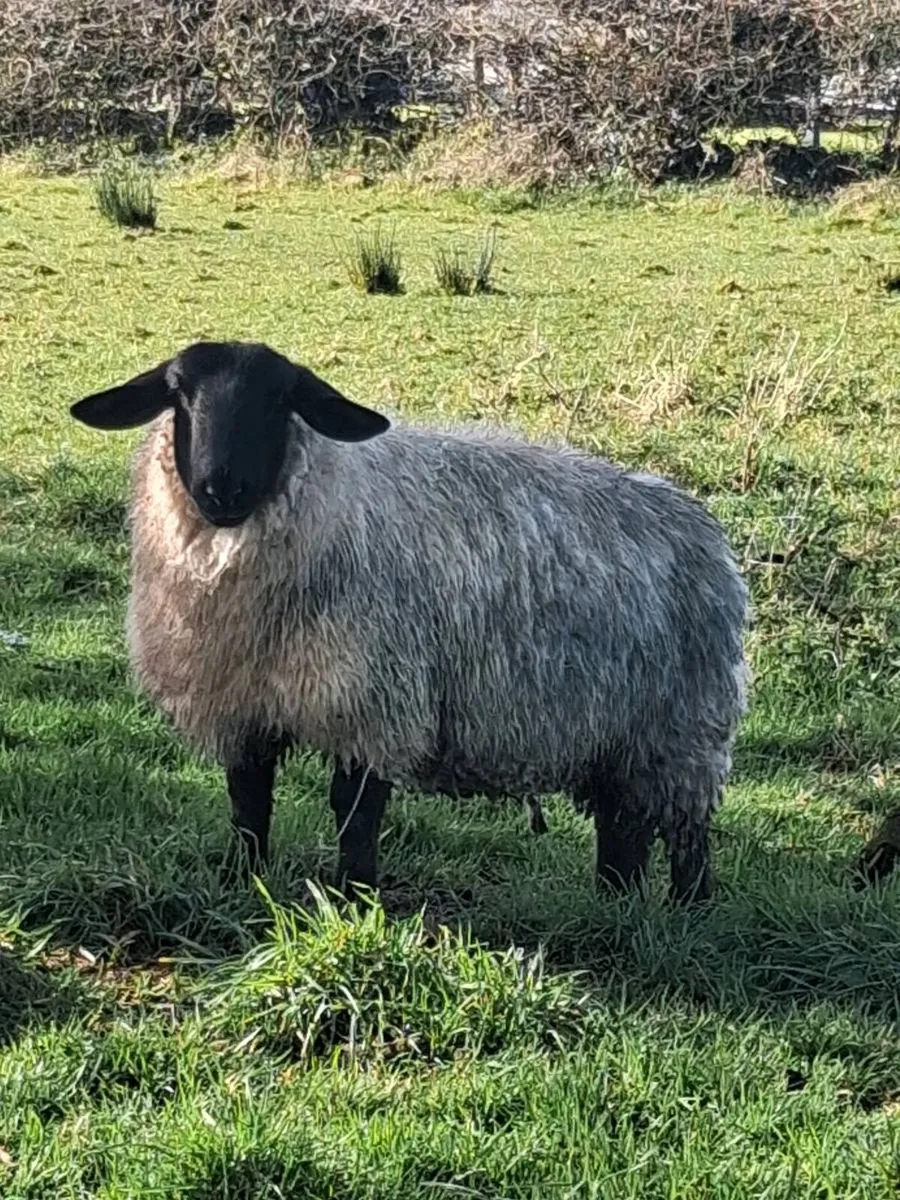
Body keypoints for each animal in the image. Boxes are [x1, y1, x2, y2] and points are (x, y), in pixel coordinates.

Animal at [70, 340, 748, 904]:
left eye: (282, 398)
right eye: (178, 392)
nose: (221, 488)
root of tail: (702, 528)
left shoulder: (374, 703)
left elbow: (354, 812)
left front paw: (353, 898)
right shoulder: (244, 704)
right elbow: (248, 801)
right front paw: (245, 881)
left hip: (681, 735)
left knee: (686, 839)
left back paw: (683, 914)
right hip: (620, 739)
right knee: (623, 830)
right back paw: (615, 907)